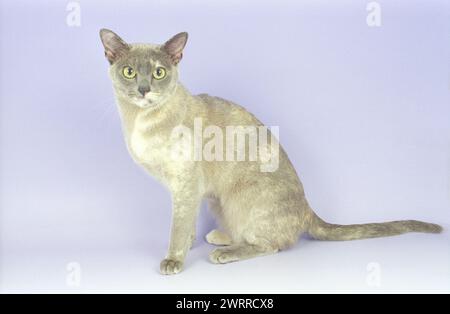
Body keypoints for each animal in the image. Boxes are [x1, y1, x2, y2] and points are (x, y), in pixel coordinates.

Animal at [99, 29, 442, 274]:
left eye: (158, 73)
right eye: (129, 72)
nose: (144, 90)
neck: (139, 122)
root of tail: (308, 208)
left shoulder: (185, 184)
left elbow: (178, 227)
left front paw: (174, 260)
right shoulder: (190, 192)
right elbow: (187, 226)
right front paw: (188, 245)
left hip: (241, 198)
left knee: (270, 244)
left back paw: (223, 252)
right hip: (218, 200)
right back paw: (220, 237)